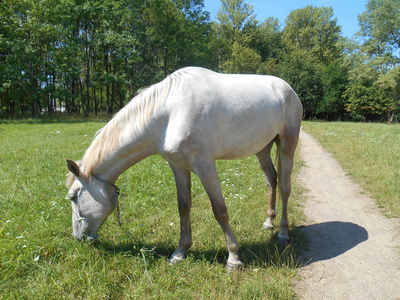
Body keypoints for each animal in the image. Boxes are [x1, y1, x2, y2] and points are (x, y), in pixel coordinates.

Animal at [66, 67, 304, 270]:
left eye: (73, 197)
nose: (78, 238)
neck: (171, 112)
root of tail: (287, 88)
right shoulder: (178, 166)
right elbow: (184, 206)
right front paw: (180, 252)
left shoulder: (205, 166)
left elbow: (220, 210)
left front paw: (233, 258)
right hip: (262, 148)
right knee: (271, 180)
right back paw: (269, 222)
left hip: (287, 142)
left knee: (284, 186)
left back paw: (283, 233)